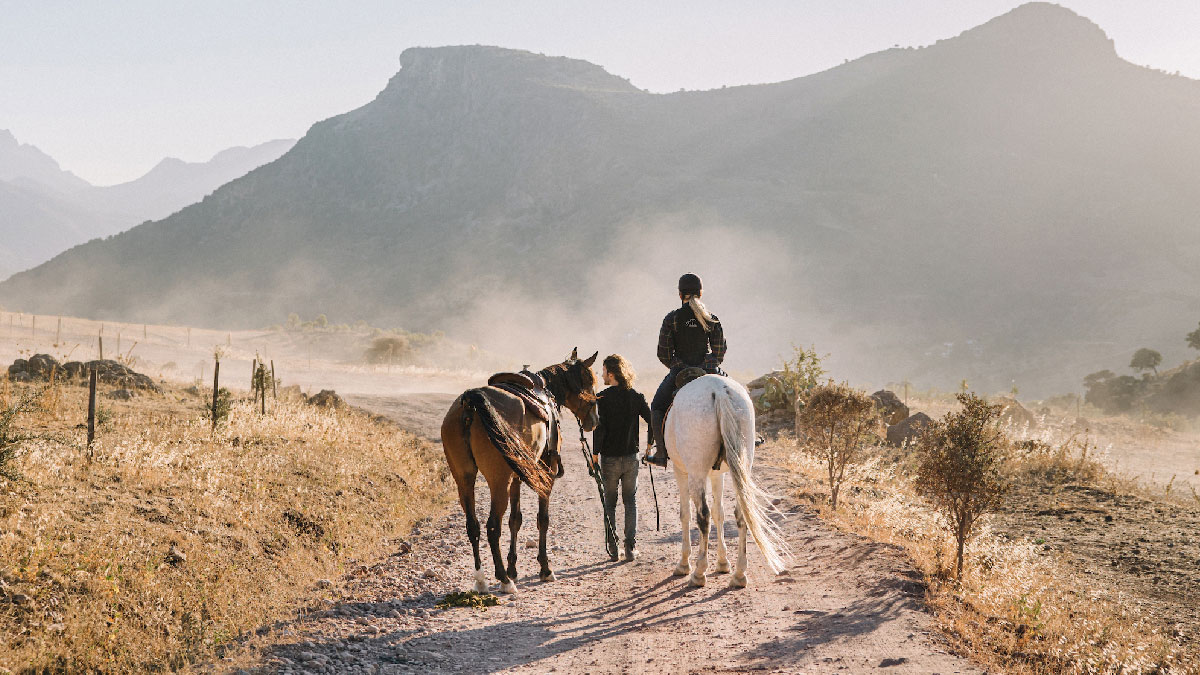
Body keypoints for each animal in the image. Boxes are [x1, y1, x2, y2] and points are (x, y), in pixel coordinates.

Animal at [441, 348, 600, 590]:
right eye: (590, 381)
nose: (595, 420)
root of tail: (470, 403)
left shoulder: (515, 475)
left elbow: (515, 520)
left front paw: (513, 568)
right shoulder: (547, 470)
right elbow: (542, 519)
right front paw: (544, 569)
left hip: (464, 479)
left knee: (473, 526)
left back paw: (481, 580)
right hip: (498, 482)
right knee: (492, 527)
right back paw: (504, 581)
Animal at [667, 372, 787, 583]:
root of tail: (719, 390)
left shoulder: (680, 470)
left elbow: (685, 514)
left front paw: (683, 564)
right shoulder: (718, 474)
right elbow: (720, 513)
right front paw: (723, 563)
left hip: (696, 471)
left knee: (703, 516)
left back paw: (699, 572)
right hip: (740, 465)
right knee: (741, 513)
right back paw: (739, 573)